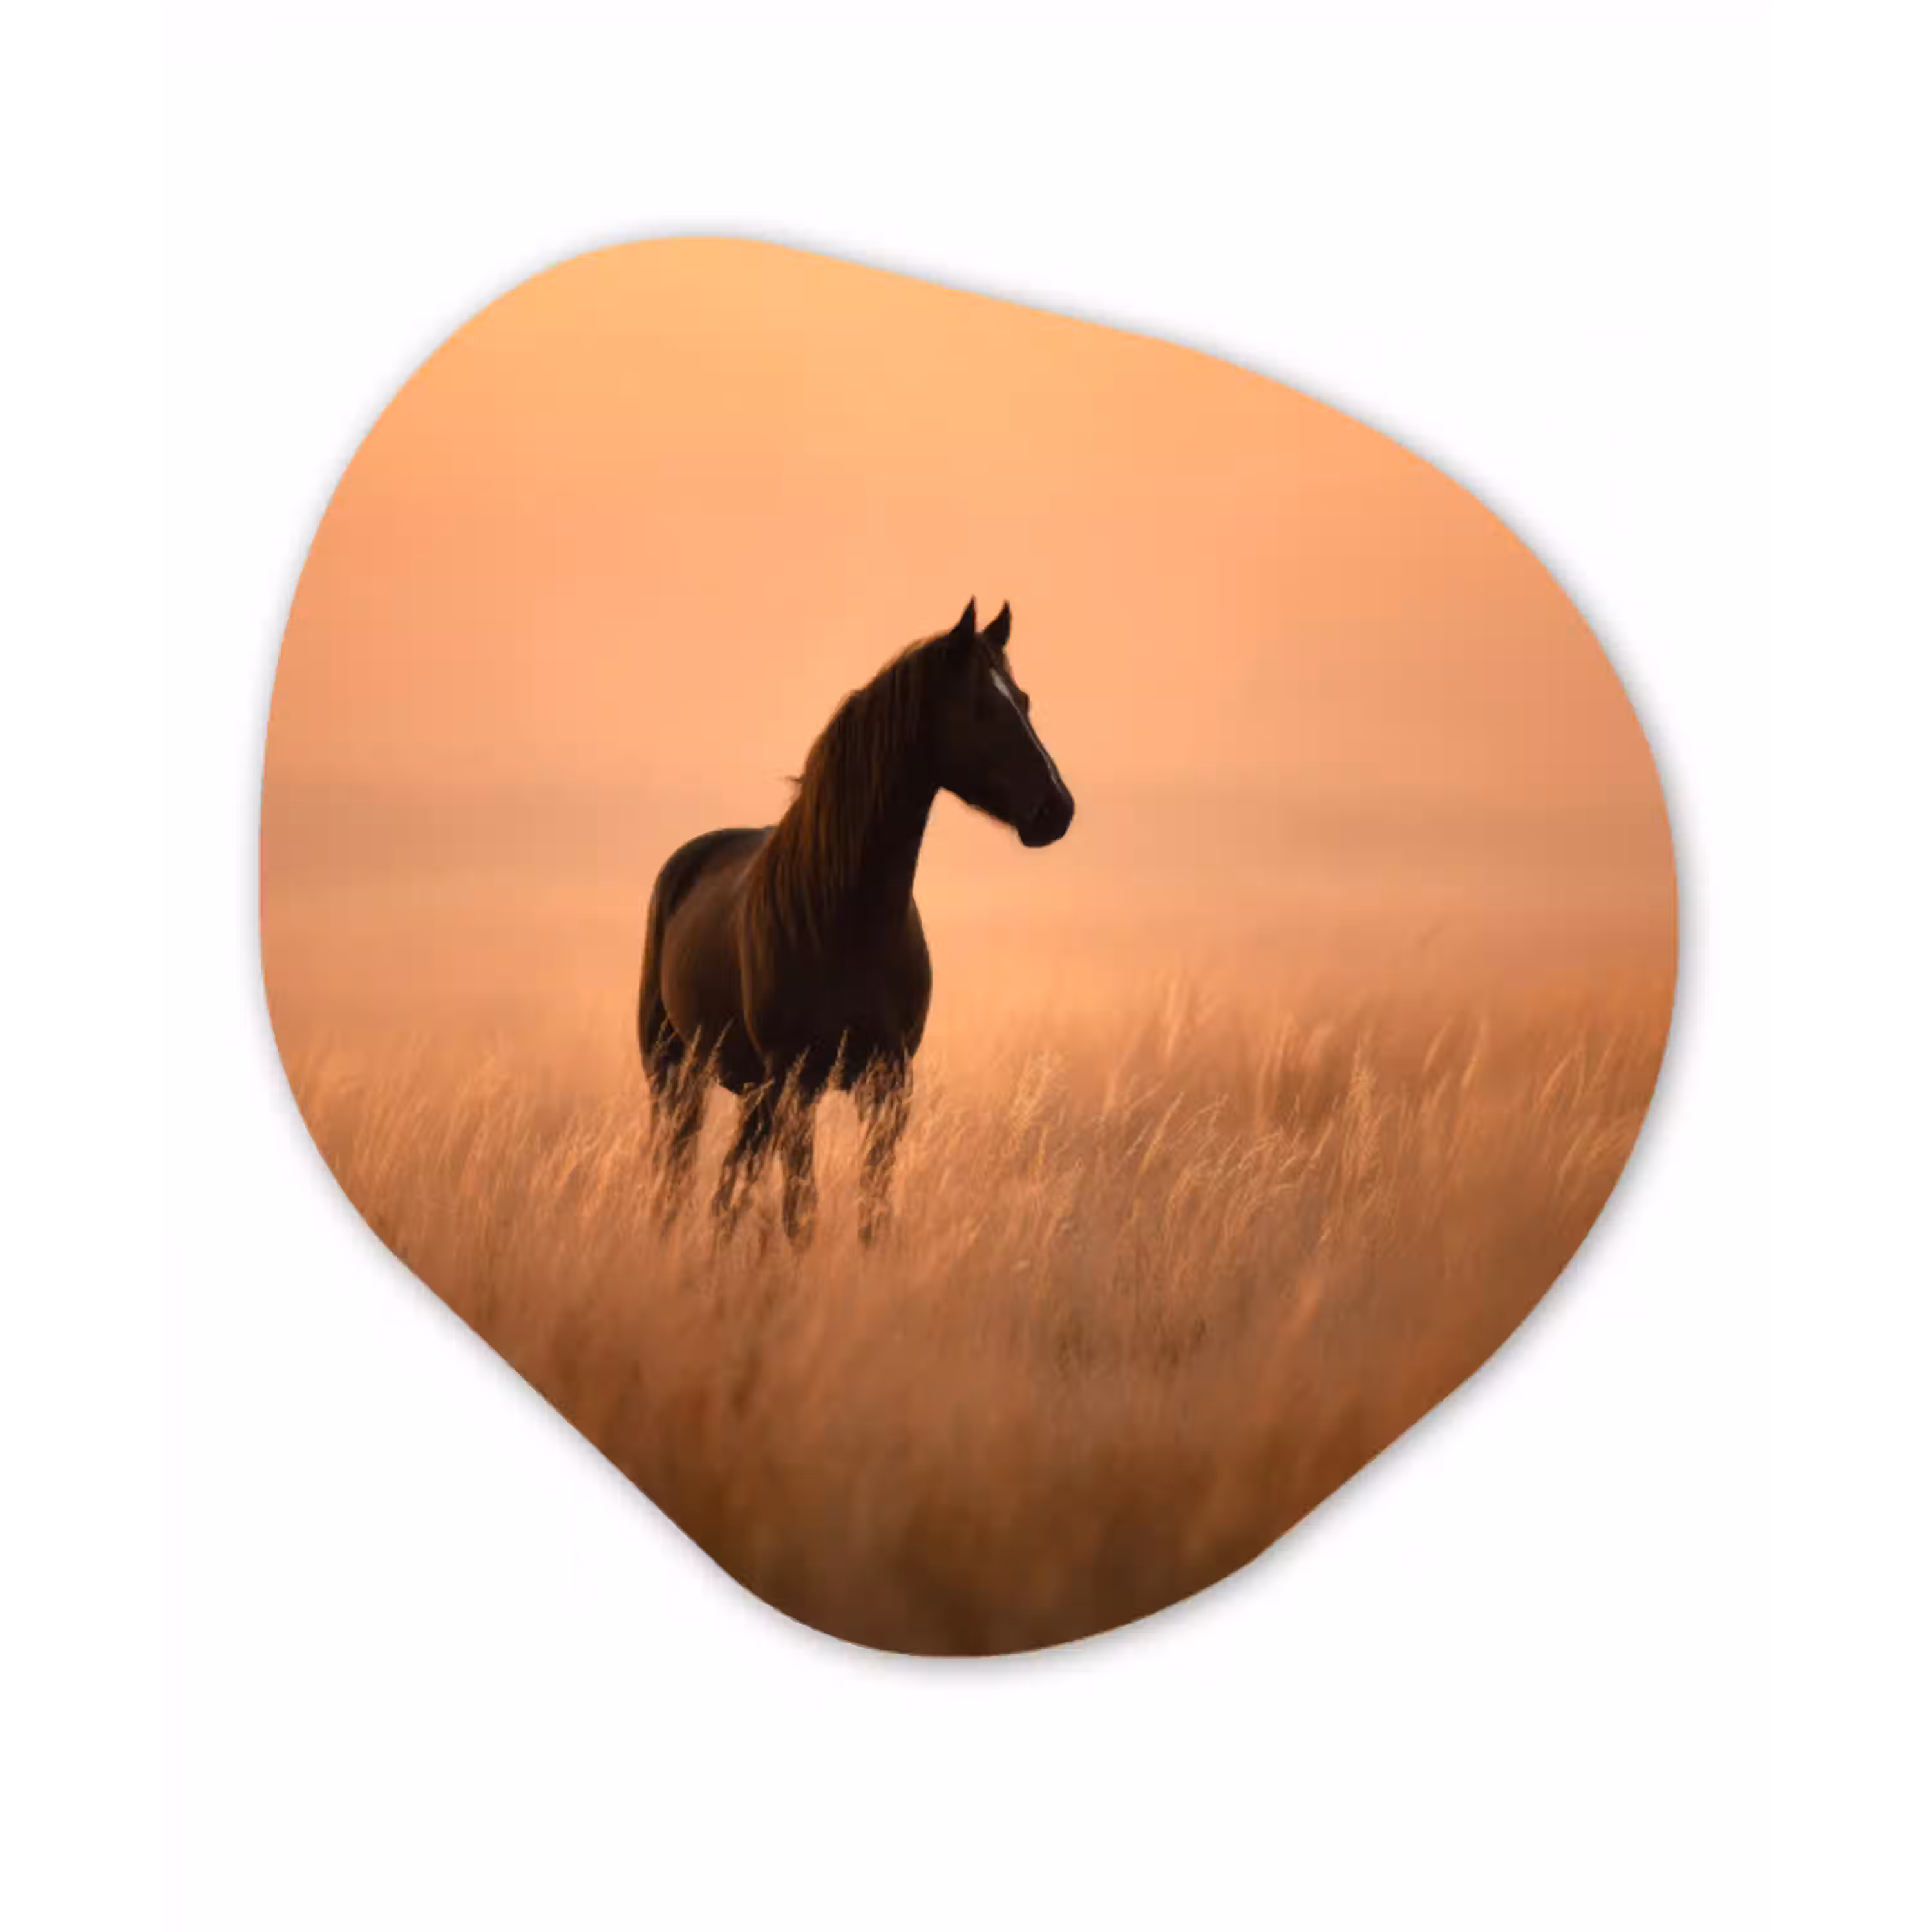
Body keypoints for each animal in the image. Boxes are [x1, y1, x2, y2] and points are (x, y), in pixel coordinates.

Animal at [636, 598, 1075, 1247]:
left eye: (1022, 699)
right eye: (981, 706)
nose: (1056, 809)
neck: (846, 918)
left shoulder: (887, 1083)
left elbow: (873, 1211)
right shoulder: (797, 1083)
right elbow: (801, 1212)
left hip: (751, 1091)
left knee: (728, 1189)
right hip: (677, 1073)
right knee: (681, 1180)